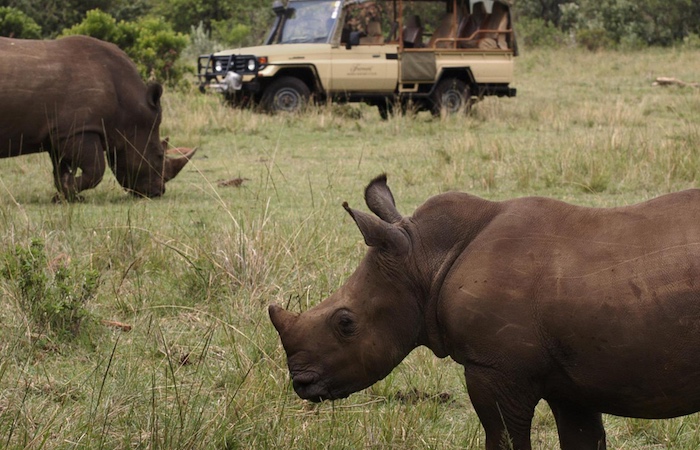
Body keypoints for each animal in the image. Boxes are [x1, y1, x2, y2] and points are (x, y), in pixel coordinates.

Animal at [0, 36, 194, 201]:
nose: (157, 192)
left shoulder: (60, 134)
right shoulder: (80, 129)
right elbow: (96, 170)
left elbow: (60, 168)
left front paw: (66, 193)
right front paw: (64, 194)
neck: (129, 108)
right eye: (159, 156)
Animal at [270, 173, 700, 450]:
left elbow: (504, 439)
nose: (301, 383)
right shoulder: (572, 382)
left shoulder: (494, 366)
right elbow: (582, 439)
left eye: (346, 323)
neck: (425, 259)